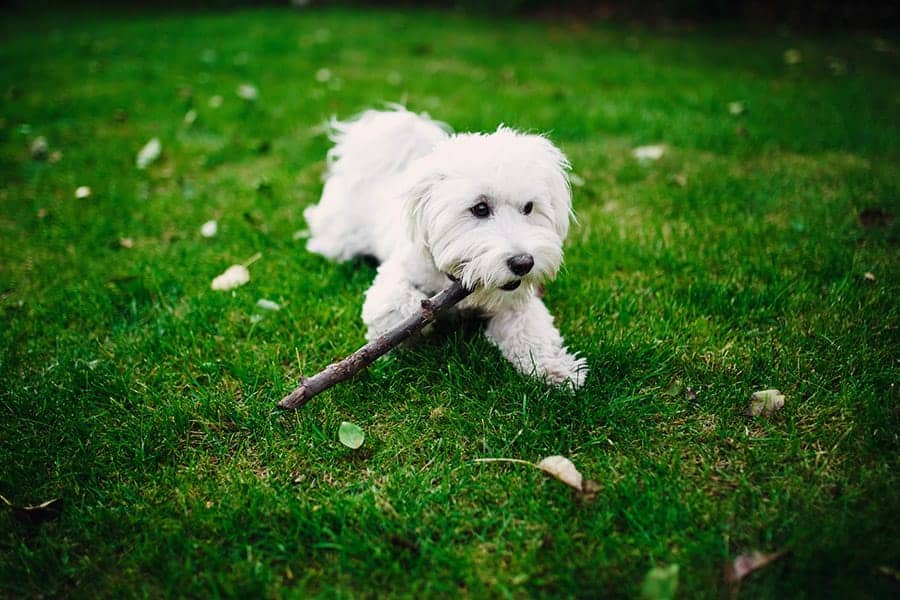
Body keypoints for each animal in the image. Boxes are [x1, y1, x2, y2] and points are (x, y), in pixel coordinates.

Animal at [302, 106, 588, 390]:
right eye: (480, 208)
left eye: (529, 207)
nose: (523, 263)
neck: (456, 278)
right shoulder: (394, 278)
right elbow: (397, 307)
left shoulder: (516, 303)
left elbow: (532, 331)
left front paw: (555, 367)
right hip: (340, 239)